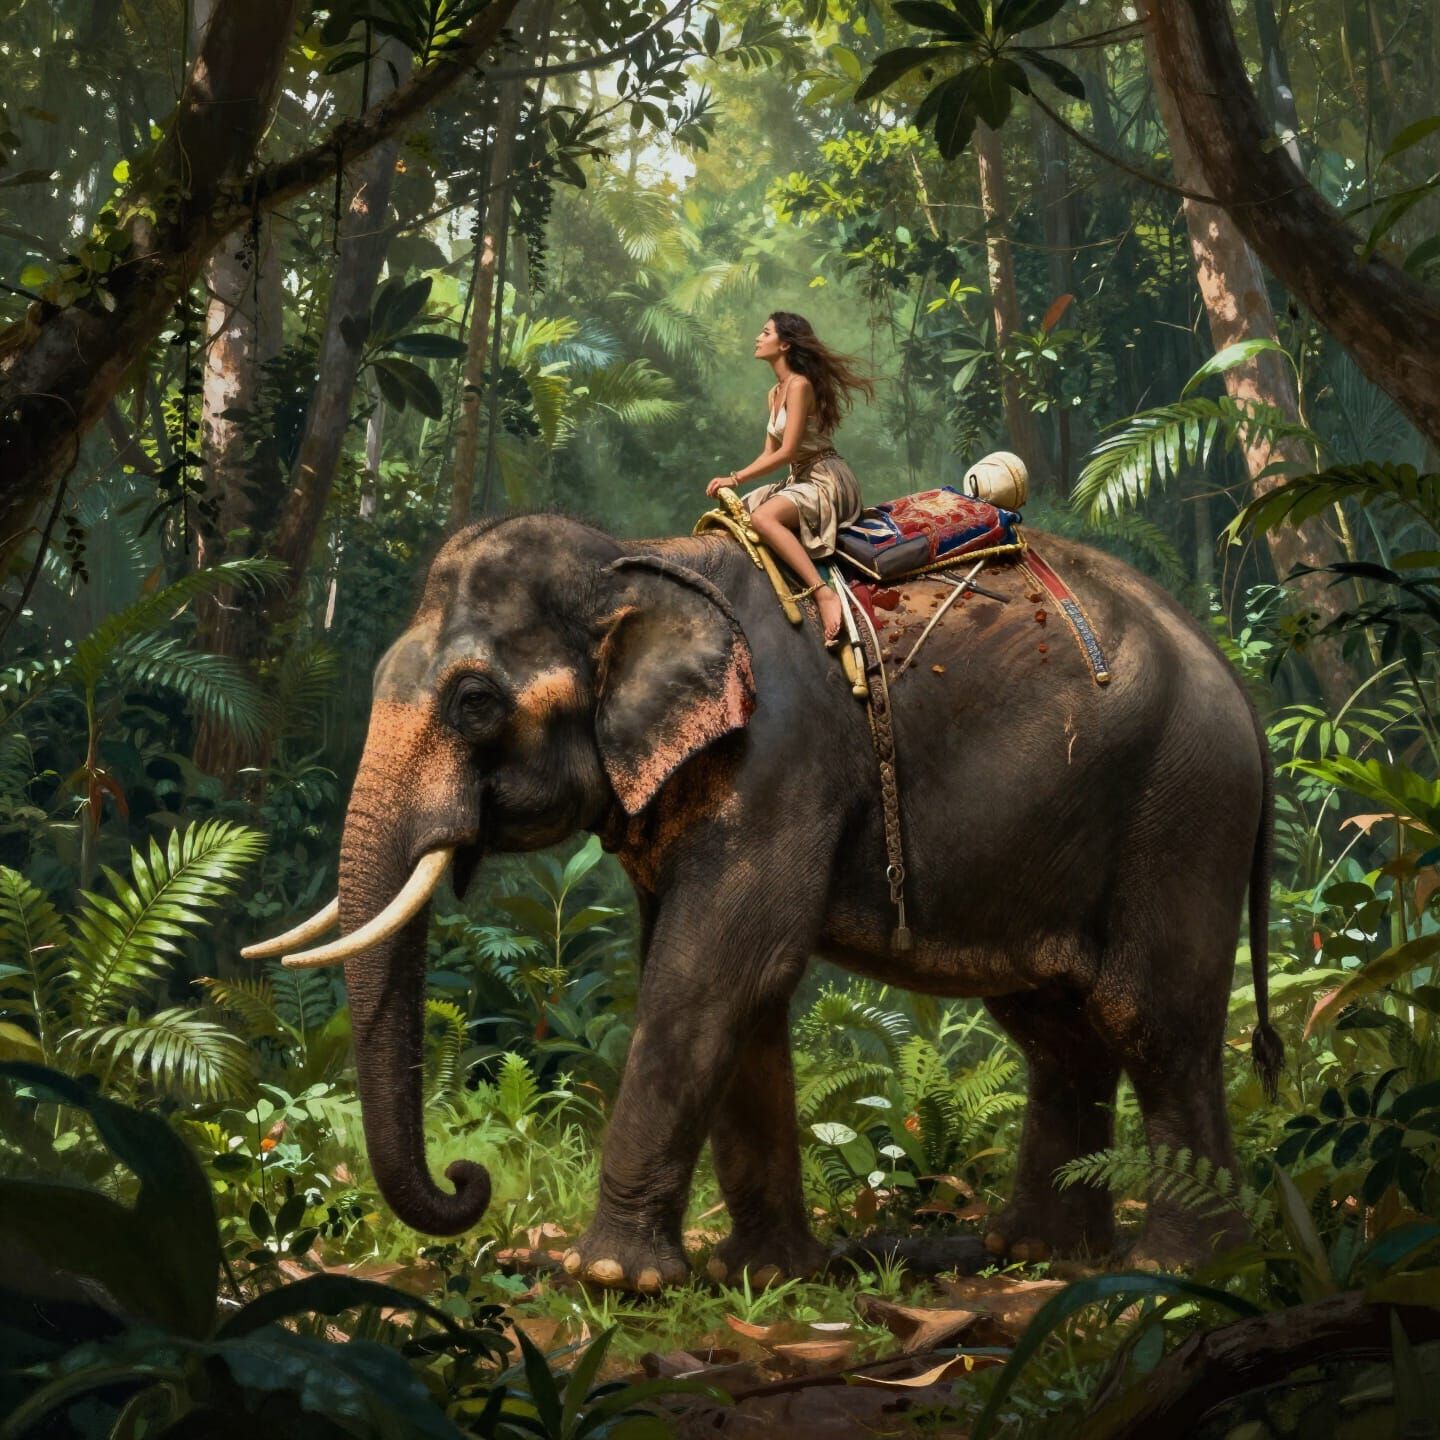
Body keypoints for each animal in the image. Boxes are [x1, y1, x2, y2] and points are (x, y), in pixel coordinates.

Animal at [246, 511, 1281, 1290]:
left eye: (474, 702)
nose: (470, 1179)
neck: (639, 561)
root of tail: (1240, 687)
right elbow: (745, 995)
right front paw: (768, 1275)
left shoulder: (777, 762)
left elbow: (714, 969)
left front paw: (609, 1279)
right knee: (1057, 1028)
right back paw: (1037, 1253)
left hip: (1180, 812)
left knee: (1149, 1018)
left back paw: (1183, 1265)